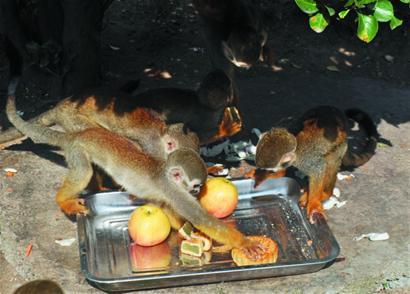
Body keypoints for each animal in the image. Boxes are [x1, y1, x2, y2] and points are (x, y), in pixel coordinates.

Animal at [7, 93, 253, 248]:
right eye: (195, 186)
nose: (196, 192)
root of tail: (75, 136)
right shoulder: (174, 190)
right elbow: (200, 218)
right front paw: (245, 243)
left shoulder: (166, 194)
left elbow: (165, 207)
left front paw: (187, 231)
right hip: (78, 149)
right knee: (84, 171)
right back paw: (64, 200)